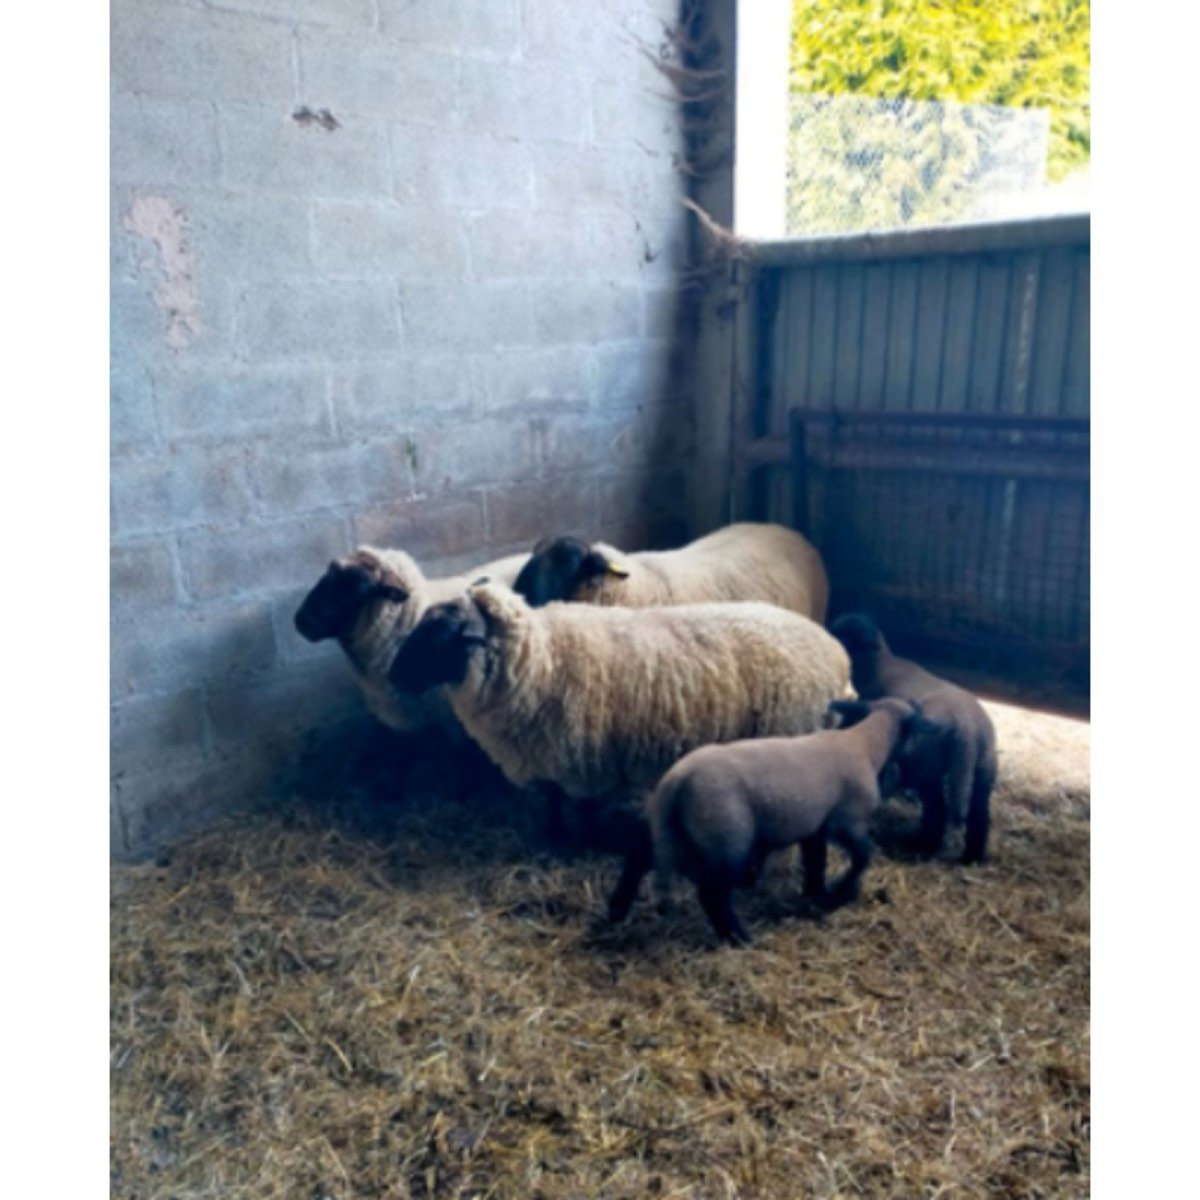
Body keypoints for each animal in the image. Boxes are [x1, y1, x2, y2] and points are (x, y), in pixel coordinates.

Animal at [387, 581, 854, 917]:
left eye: (438, 635)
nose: (394, 677)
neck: (539, 659)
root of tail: (838, 660)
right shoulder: (554, 759)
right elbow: (553, 799)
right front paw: (551, 832)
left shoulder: (581, 761)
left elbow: (577, 807)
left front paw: (573, 840)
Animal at [647, 697, 926, 945]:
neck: (866, 744)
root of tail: (676, 777)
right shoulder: (848, 821)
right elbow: (864, 855)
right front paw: (841, 894)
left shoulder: (817, 827)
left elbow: (816, 861)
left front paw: (816, 893)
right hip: (728, 835)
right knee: (712, 893)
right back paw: (739, 937)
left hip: (684, 835)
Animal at [829, 614, 997, 864]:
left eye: (842, 635)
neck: (878, 665)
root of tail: (967, 727)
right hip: (984, 768)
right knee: (979, 815)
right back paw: (971, 857)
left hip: (928, 766)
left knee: (937, 808)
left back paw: (923, 844)